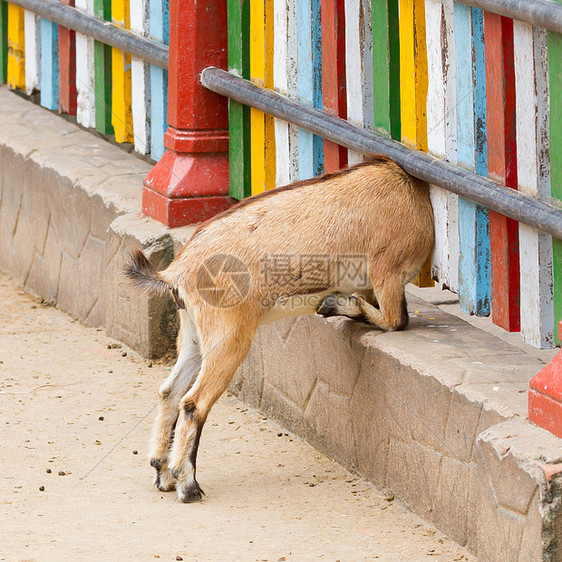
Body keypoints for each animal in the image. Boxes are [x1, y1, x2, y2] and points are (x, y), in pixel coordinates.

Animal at [124, 155, 434, 500]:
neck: (410, 189)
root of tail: (177, 271)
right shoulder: (387, 272)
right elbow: (395, 320)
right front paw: (332, 303)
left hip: (193, 334)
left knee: (169, 391)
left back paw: (163, 474)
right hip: (229, 335)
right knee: (194, 403)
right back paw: (188, 485)